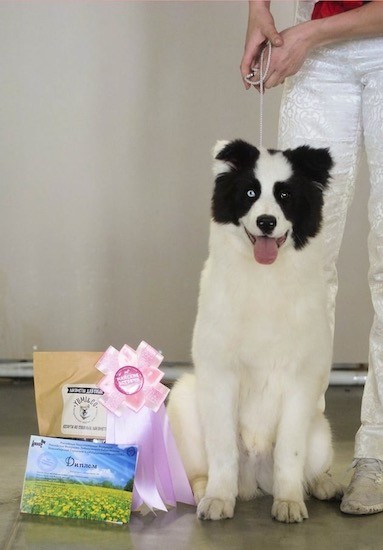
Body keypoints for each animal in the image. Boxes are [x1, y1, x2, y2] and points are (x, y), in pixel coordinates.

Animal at [170, 140, 344, 524]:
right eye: (250, 193)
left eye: (285, 195)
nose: (267, 222)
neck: (265, 278)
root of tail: (254, 479)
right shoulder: (220, 374)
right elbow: (222, 449)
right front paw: (219, 498)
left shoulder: (300, 380)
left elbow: (289, 453)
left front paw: (289, 501)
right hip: (185, 398)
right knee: (200, 470)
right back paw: (205, 490)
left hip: (319, 428)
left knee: (309, 466)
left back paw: (324, 485)